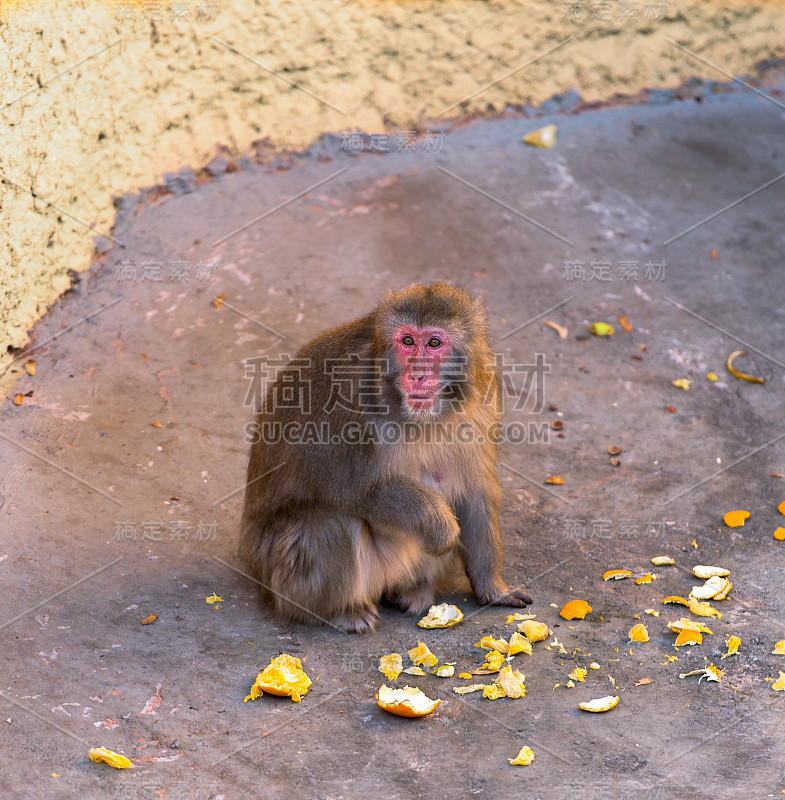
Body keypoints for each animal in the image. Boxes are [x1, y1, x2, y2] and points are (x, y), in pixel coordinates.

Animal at [242, 282, 528, 632]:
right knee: (329, 522)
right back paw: (339, 612)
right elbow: (352, 491)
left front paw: (493, 588)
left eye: (434, 343)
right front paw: (439, 526)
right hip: (285, 578)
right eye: (407, 342)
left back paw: (414, 591)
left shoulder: (484, 397)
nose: (417, 375)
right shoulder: (348, 399)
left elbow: (476, 491)